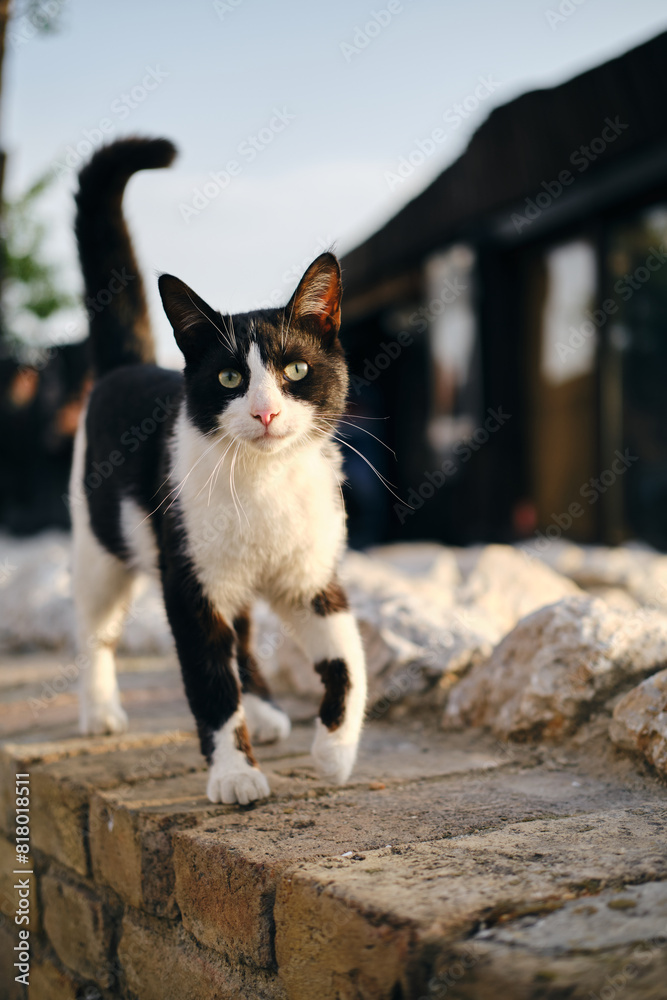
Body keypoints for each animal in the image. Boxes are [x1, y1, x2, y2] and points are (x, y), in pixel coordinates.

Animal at [70, 137, 368, 804]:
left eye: (297, 370)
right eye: (230, 377)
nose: (264, 411)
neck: (264, 483)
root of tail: (125, 366)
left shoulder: (311, 577)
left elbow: (349, 658)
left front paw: (335, 754)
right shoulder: (188, 581)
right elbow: (209, 684)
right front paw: (234, 771)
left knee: (244, 633)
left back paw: (263, 709)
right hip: (102, 543)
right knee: (97, 628)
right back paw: (98, 709)